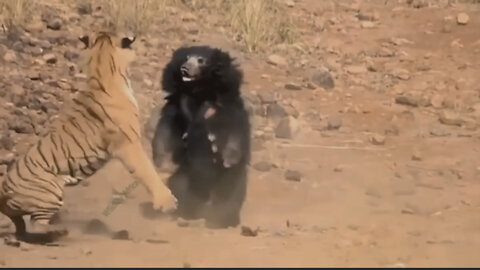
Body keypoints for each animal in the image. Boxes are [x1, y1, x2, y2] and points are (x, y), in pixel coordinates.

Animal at [0, 31, 176, 243]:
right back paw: (61, 233)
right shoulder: (128, 145)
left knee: (22, 227)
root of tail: (3, 192)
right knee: (36, 225)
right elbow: (148, 171)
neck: (102, 70)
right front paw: (167, 201)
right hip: (50, 191)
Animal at [152, 46, 251, 228]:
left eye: (201, 60)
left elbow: (235, 131)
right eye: (186, 58)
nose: (185, 68)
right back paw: (186, 214)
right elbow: (165, 129)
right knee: (180, 188)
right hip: (185, 176)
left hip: (231, 180)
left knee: (229, 195)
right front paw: (162, 163)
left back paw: (222, 221)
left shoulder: (227, 107)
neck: (199, 92)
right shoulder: (177, 106)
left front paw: (229, 159)